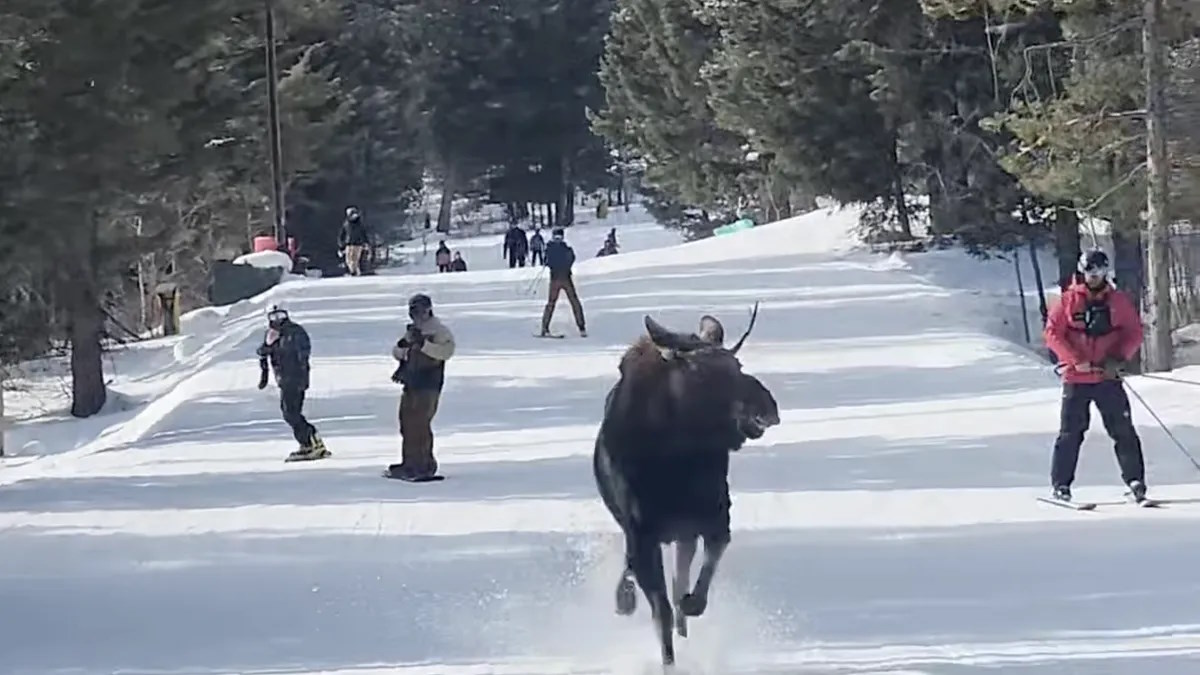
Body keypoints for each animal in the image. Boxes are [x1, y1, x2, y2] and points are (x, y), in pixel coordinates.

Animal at [595, 303, 782, 662]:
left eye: (737, 364)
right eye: (700, 372)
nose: (768, 406)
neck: (674, 461)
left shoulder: (714, 514)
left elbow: (701, 574)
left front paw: (692, 605)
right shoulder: (642, 535)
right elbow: (661, 614)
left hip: (681, 532)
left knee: (680, 574)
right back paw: (626, 599)